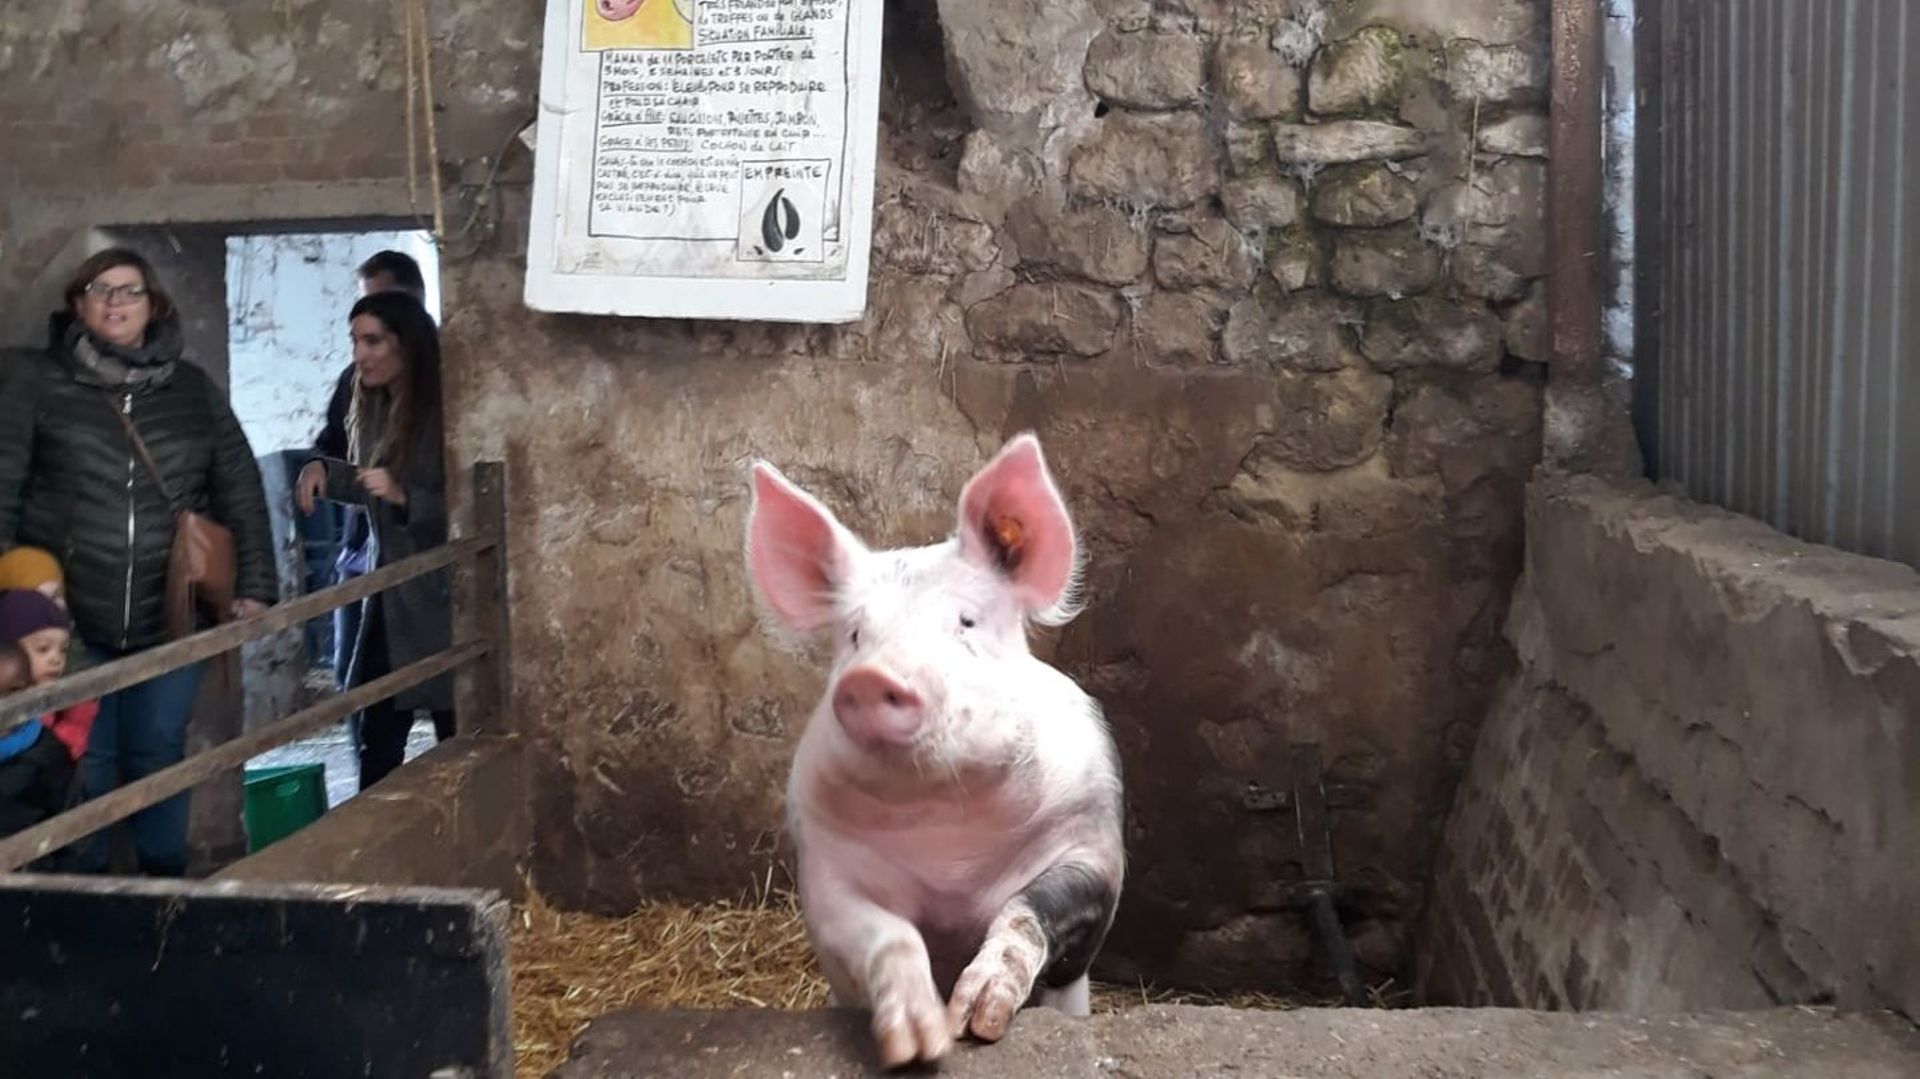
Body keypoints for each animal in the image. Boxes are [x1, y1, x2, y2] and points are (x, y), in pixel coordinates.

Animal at [737, 431, 1121, 1059]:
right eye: (855, 635)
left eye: (966, 622)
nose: (872, 678)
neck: (950, 847)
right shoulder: (827, 869)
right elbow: (886, 933)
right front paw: (920, 1042)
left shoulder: (1091, 841)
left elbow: (1028, 911)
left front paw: (976, 1019)